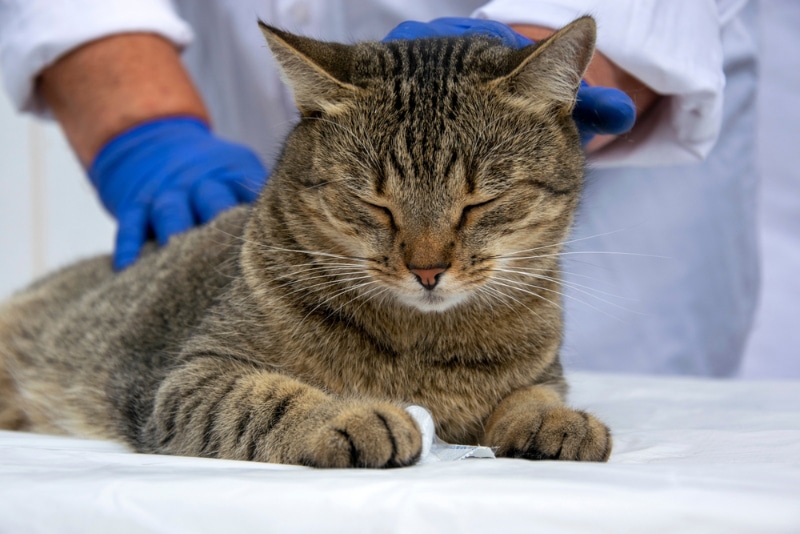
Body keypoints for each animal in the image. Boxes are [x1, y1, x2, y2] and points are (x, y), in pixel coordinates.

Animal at [0, 16, 608, 468]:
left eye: (479, 202)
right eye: (375, 204)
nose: (427, 270)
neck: (424, 345)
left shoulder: (544, 373)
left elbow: (533, 394)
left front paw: (555, 420)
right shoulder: (189, 378)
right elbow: (267, 399)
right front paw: (348, 415)